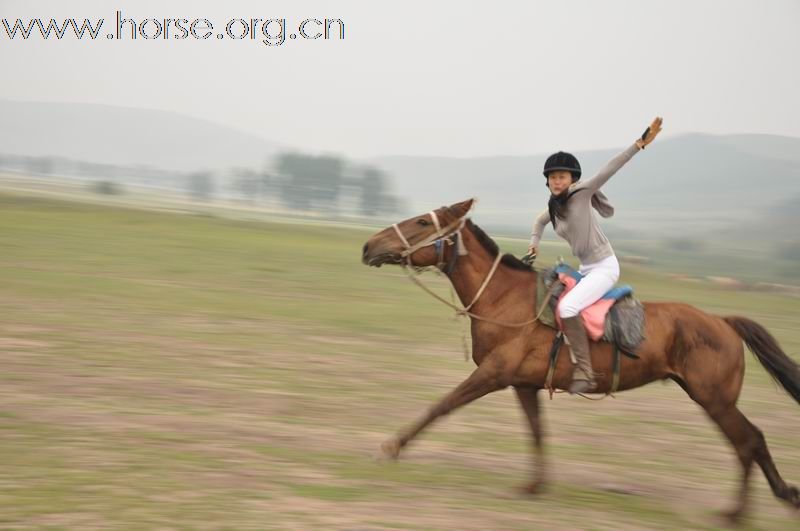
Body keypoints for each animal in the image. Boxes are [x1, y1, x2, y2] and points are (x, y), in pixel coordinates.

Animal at [362, 197, 800, 520]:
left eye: (422, 222)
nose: (369, 247)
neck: (504, 299)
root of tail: (723, 321)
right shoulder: (524, 384)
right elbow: (537, 432)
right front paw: (534, 485)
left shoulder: (492, 375)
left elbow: (441, 406)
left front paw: (392, 446)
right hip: (712, 397)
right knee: (752, 441)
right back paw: (782, 495)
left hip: (714, 398)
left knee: (748, 441)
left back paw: (737, 512)